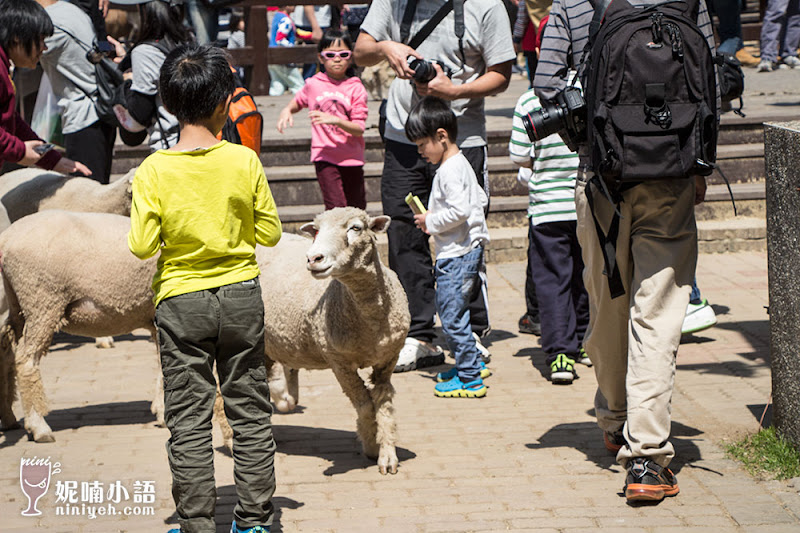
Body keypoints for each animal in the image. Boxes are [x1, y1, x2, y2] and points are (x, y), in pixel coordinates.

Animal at [0, 209, 158, 440]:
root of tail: (7, 237)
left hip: (17, 304)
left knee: (6, 355)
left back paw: (8, 418)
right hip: (42, 299)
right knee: (26, 360)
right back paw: (39, 426)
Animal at [217, 207, 410, 474]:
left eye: (356, 228)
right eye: (316, 230)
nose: (313, 258)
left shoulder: (388, 359)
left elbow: (384, 405)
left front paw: (387, 455)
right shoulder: (339, 362)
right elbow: (364, 404)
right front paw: (371, 444)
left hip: (266, 343)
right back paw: (231, 440)